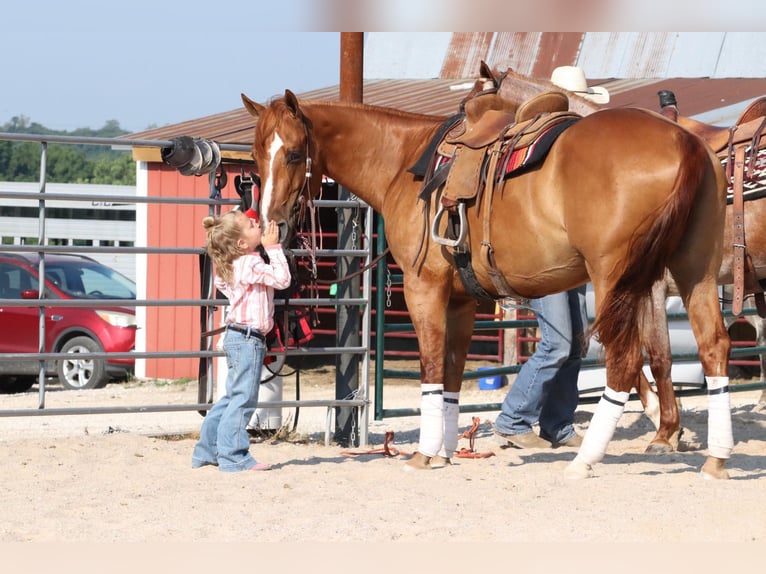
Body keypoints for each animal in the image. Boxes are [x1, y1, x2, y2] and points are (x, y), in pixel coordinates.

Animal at [243, 88, 736, 480]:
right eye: (256, 157)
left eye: (293, 153)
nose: (272, 227)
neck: (405, 164)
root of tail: (685, 142)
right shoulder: (461, 302)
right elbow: (452, 376)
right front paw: (444, 452)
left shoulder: (423, 290)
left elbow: (431, 368)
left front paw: (424, 455)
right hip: (695, 273)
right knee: (713, 345)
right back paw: (717, 458)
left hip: (617, 277)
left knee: (626, 360)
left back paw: (586, 461)